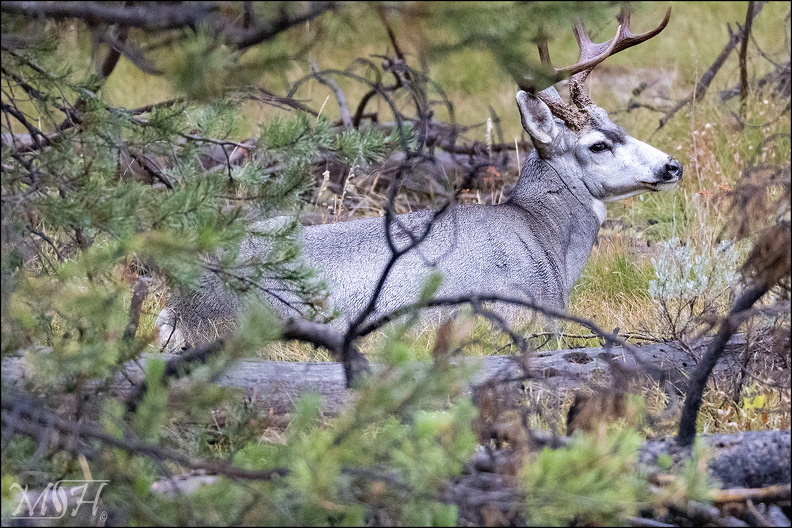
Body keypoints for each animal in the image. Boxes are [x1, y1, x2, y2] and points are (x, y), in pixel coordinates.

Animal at [158, 6, 681, 350]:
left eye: (617, 123)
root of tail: (182, 305)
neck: (543, 238)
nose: (672, 167)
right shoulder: (510, 312)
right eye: (598, 145)